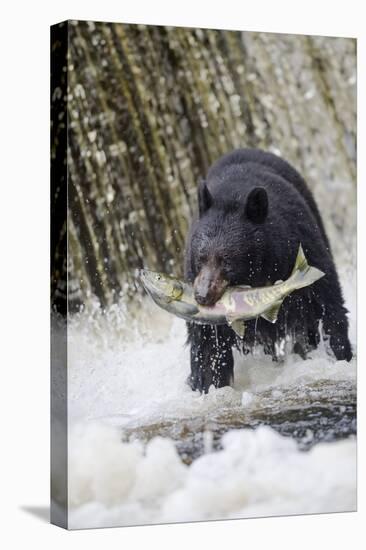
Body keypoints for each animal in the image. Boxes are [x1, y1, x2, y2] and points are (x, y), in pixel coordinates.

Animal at [184, 149, 354, 394]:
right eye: (200, 258)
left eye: (226, 261)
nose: (202, 296)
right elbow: (207, 340)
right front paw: (208, 384)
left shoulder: (300, 245)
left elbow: (326, 301)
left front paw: (340, 355)